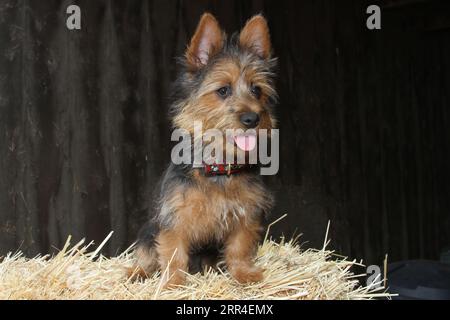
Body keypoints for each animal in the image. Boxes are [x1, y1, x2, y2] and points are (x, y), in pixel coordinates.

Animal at [132, 13, 276, 288]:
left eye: (257, 90)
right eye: (223, 90)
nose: (253, 118)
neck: (218, 166)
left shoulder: (246, 216)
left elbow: (240, 248)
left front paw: (244, 274)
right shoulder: (174, 218)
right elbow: (173, 252)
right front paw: (173, 283)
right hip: (147, 231)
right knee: (145, 252)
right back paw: (137, 272)